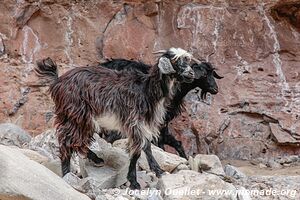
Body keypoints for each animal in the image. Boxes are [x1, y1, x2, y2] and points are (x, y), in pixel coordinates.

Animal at [34, 47, 197, 189]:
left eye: (187, 60)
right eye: (176, 61)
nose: (191, 74)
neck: (146, 90)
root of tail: (58, 82)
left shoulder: (143, 124)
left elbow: (147, 147)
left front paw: (158, 171)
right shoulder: (133, 122)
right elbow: (137, 152)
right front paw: (134, 182)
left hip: (79, 118)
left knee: (77, 142)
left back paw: (96, 159)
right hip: (77, 115)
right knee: (68, 141)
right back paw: (67, 174)